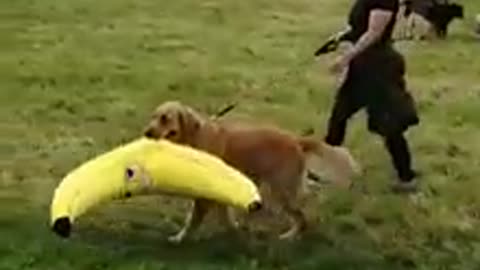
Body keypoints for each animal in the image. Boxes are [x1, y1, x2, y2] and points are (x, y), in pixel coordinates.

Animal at [142, 100, 360, 243]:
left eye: (165, 119)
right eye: (153, 117)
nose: (147, 132)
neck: (195, 137)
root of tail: (296, 140)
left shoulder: (204, 197)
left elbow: (192, 221)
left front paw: (179, 238)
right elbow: (225, 216)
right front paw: (234, 232)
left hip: (280, 191)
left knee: (302, 218)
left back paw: (289, 237)